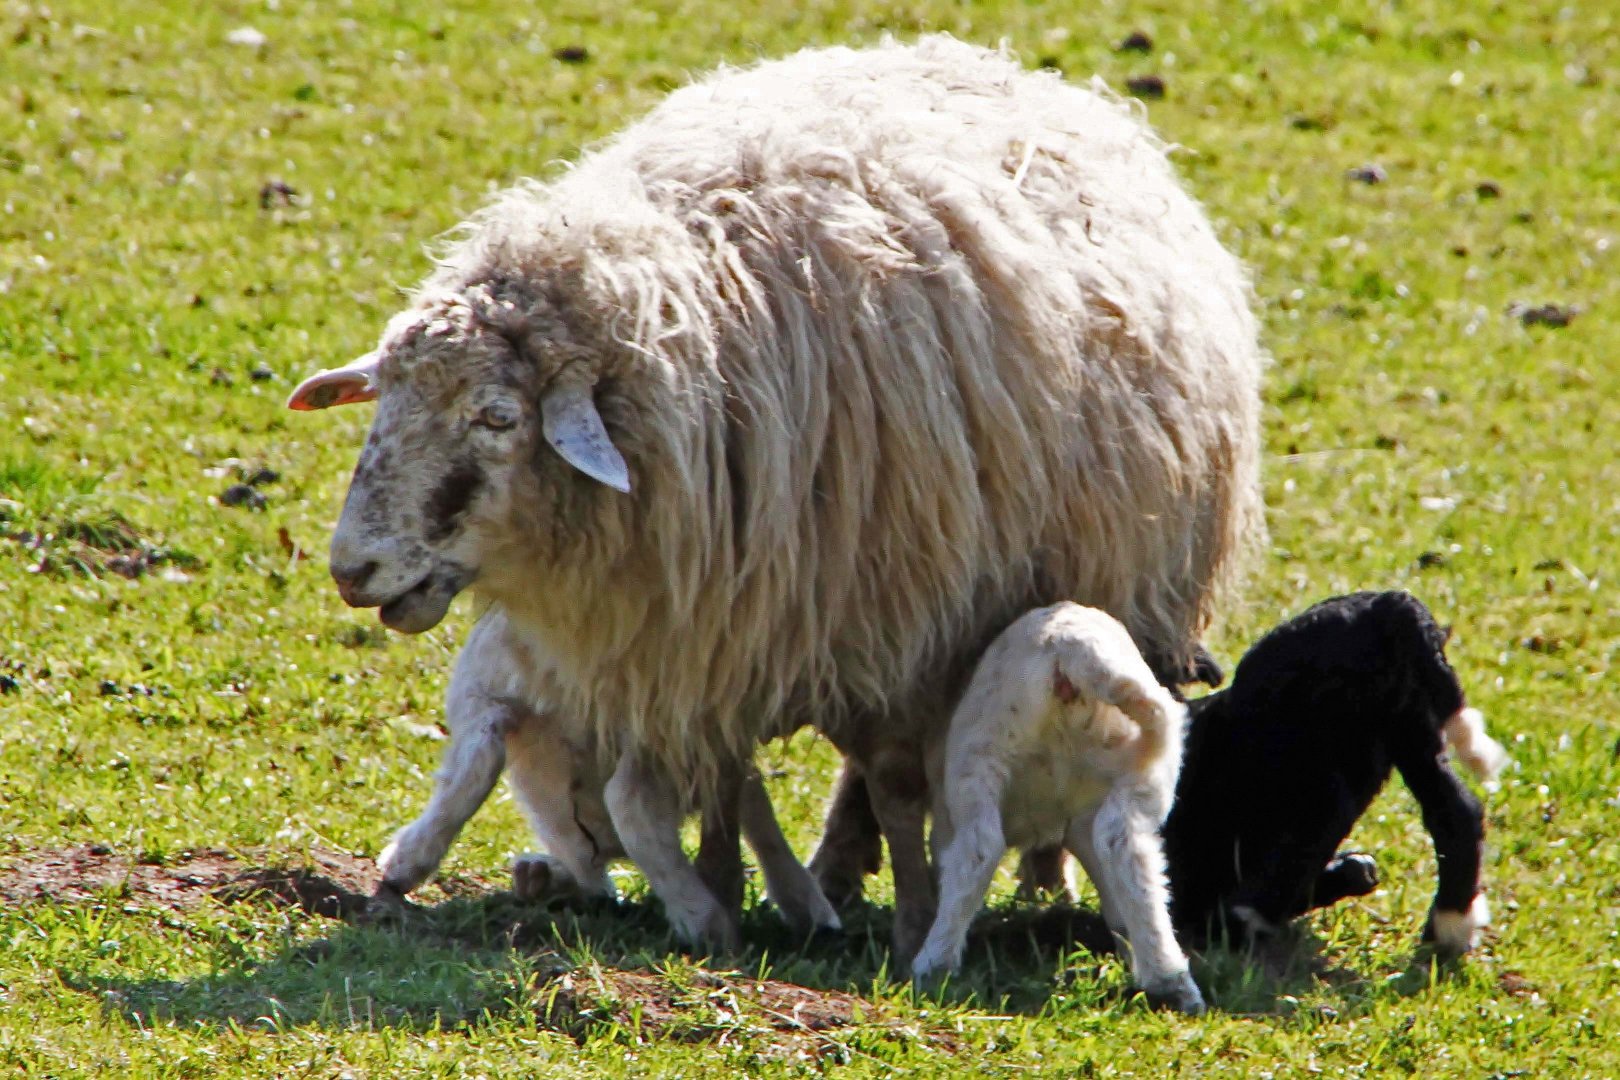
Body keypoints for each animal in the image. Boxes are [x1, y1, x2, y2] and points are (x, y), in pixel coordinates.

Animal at [291, 35, 1263, 965]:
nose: (352, 569)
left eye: (497, 417)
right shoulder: (715, 634)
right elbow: (724, 781)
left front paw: (903, 916)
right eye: (387, 400)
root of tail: (1008, 67)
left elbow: (891, 787)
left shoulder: (895, 633)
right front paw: (724, 890)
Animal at [913, 599, 1205, 1016]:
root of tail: (1070, 652)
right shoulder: (1081, 821)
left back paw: (933, 963)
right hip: (1146, 760)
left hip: (980, 754)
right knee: (1126, 849)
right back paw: (1169, 980)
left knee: (979, 849)